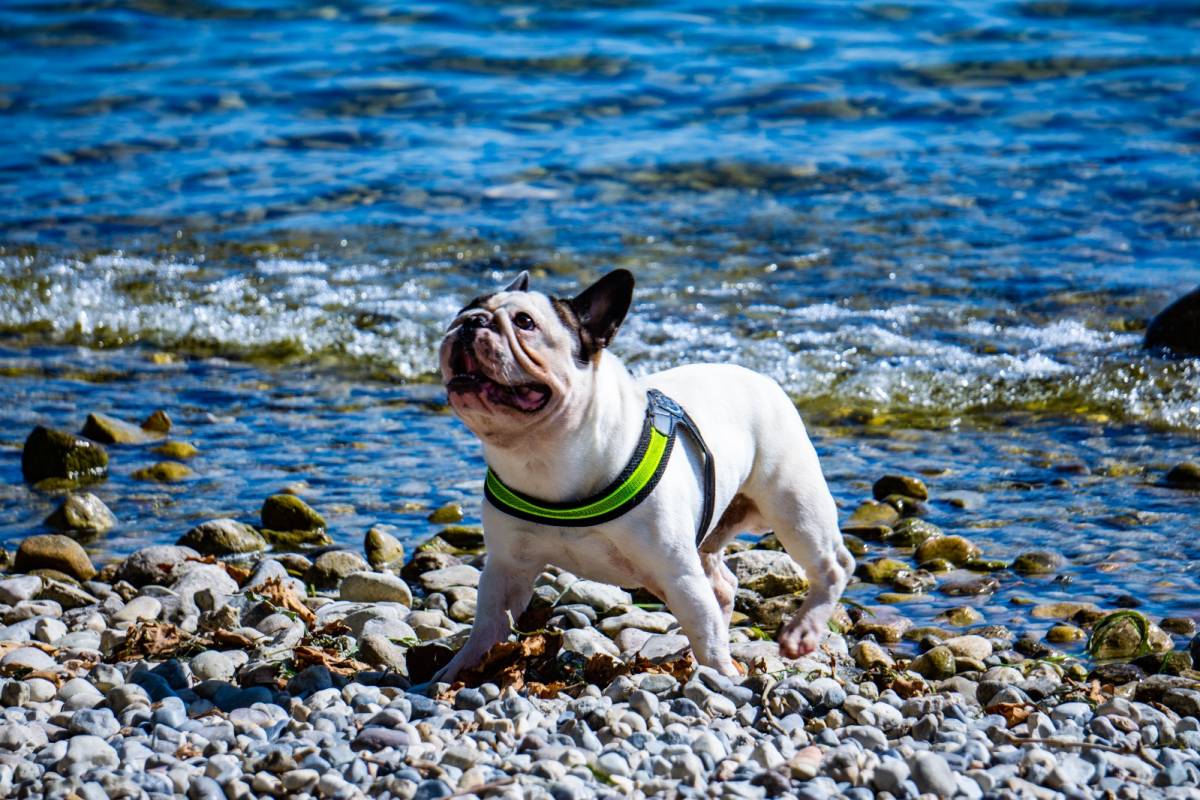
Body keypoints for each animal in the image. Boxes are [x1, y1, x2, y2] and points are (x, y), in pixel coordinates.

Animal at [432, 272, 854, 681]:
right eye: (464, 309)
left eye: (524, 322)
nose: (471, 322)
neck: (543, 452)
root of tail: (762, 379)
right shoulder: (507, 566)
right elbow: (486, 625)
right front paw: (459, 670)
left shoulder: (678, 574)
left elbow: (703, 630)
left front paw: (722, 673)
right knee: (722, 585)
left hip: (793, 507)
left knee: (833, 566)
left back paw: (802, 632)